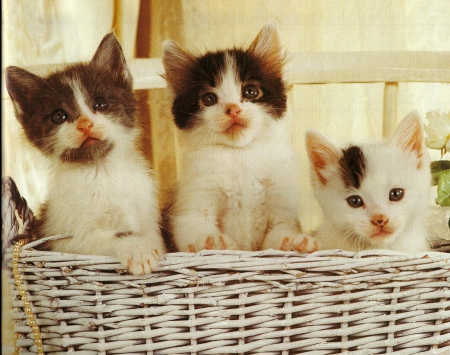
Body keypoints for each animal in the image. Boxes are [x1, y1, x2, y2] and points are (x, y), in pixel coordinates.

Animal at [4, 32, 167, 276]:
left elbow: (155, 238)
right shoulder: (56, 240)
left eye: (100, 103)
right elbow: (99, 238)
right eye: (58, 116)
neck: (100, 171)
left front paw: (147, 246)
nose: (85, 124)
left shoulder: (148, 216)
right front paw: (138, 249)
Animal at [160, 25, 318, 253]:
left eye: (250, 91)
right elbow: (193, 226)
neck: (240, 154)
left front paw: (294, 241)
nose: (232, 109)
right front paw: (210, 241)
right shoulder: (190, 204)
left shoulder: (281, 203)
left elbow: (280, 231)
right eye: (208, 99)